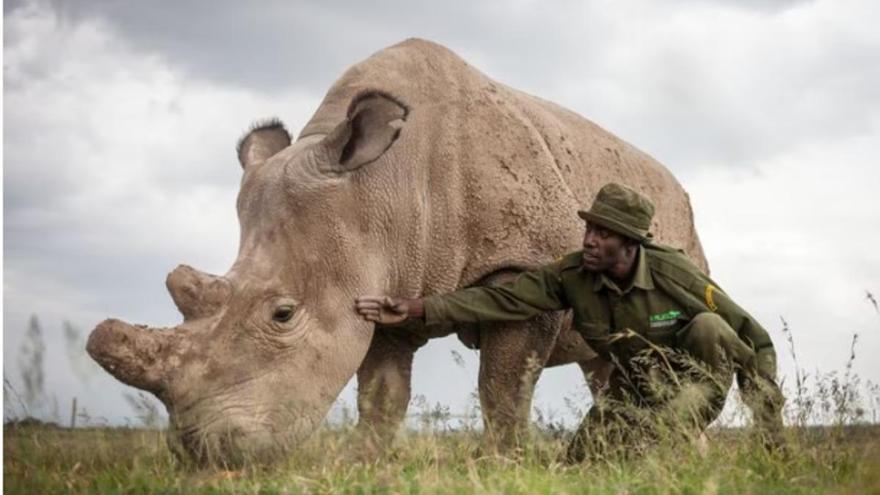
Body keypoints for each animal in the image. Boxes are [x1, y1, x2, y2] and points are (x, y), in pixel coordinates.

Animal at [89, 37, 708, 464]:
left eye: (282, 314)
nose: (202, 451)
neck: (384, 182)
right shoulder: (382, 273)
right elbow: (382, 394)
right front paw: (367, 464)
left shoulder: (524, 264)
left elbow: (504, 386)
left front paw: (504, 463)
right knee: (606, 364)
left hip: (681, 225)